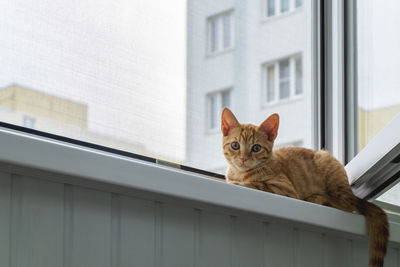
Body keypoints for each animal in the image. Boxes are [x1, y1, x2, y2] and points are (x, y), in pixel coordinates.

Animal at [222, 108, 388, 267]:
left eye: (256, 148)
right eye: (235, 145)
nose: (243, 158)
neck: (240, 173)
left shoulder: (285, 188)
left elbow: (257, 183)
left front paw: (237, 183)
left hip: (328, 165)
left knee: (347, 203)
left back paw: (318, 198)